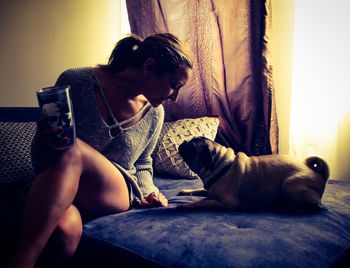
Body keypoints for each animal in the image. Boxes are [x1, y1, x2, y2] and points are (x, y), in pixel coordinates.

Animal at [178, 137, 328, 213]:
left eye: (192, 147)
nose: (183, 142)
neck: (221, 166)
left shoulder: (226, 203)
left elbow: (202, 202)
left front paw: (184, 206)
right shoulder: (209, 190)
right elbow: (199, 191)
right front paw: (186, 191)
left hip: (288, 186)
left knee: (315, 206)